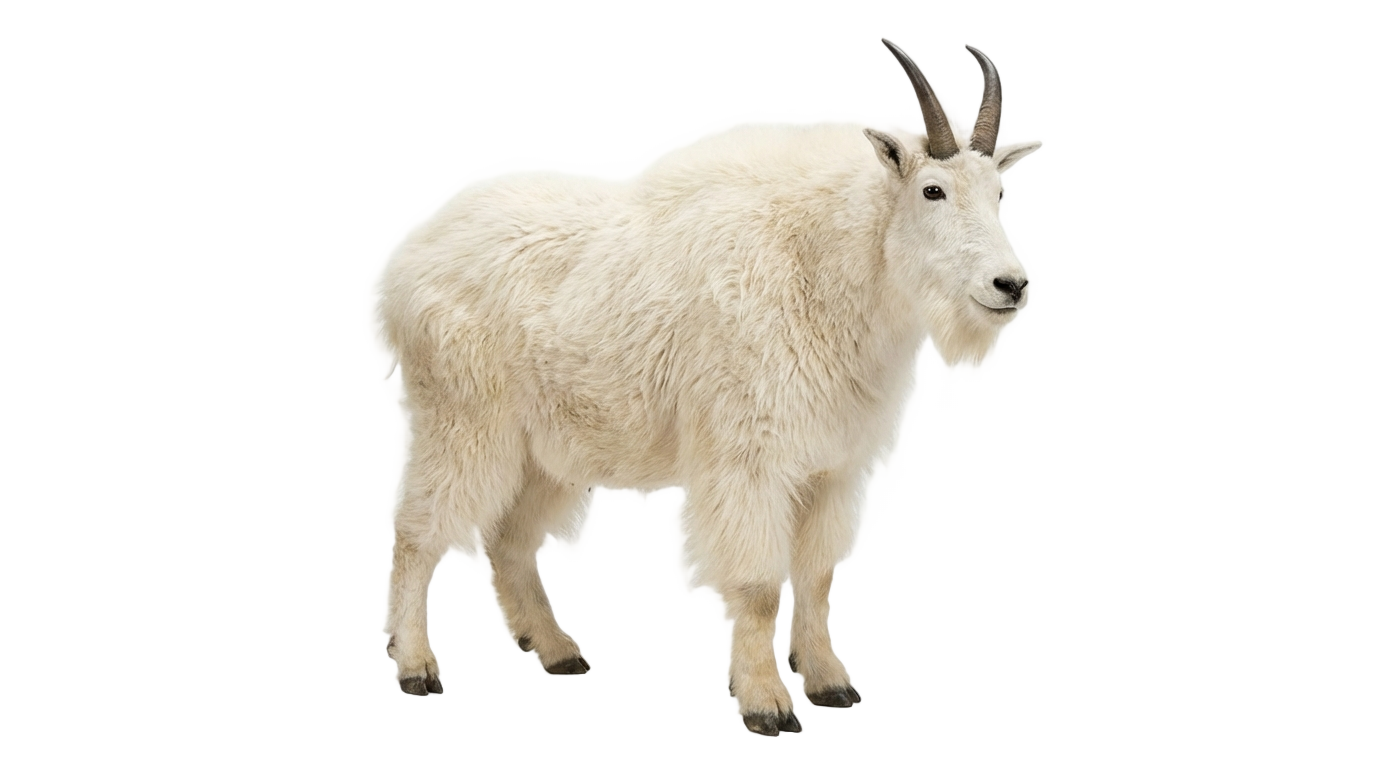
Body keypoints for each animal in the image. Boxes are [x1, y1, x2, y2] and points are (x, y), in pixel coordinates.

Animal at [379, 39, 1042, 735]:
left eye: (1000, 193)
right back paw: (415, 667)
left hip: (548, 451)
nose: (1009, 285)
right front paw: (766, 705)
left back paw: (559, 653)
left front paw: (829, 684)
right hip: (463, 418)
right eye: (932, 190)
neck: (821, 269)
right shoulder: (745, 457)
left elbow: (817, 577)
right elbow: (757, 586)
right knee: (416, 531)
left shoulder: (832, 469)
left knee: (508, 540)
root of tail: (408, 261)